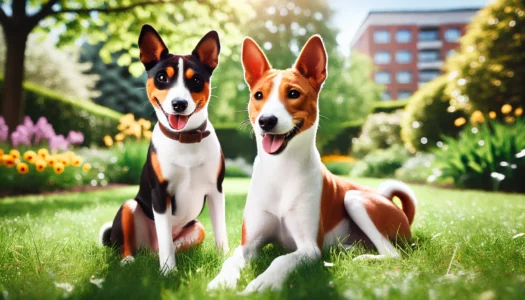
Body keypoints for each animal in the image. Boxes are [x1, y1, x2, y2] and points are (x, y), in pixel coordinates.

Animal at [100, 25, 227, 274]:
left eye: (196, 79)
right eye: (161, 77)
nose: (179, 104)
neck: (185, 139)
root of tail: (149, 247)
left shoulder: (216, 190)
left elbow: (221, 233)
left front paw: (227, 262)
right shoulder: (160, 193)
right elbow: (166, 239)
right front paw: (168, 272)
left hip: (198, 227)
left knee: (172, 244)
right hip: (130, 206)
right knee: (137, 244)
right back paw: (129, 260)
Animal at [207, 35, 416, 292]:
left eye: (293, 93)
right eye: (258, 95)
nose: (266, 121)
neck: (281, 169)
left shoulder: (309, 247)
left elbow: (281, 259)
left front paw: (264, 283)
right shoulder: (248, 244)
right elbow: (231, 261)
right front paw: (221, 281)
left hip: (354, 198)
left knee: (392, 252)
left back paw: (363, 257)